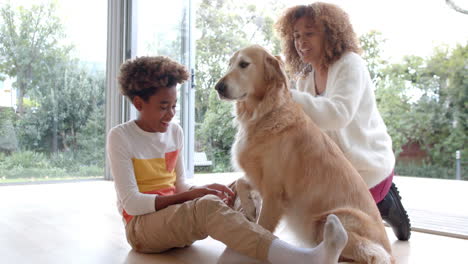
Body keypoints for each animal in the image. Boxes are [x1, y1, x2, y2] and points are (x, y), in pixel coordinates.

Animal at [216, 44, 394, 262]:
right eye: (230, 64)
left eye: (244, 64)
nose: (218, 87)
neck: (266, 113)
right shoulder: (260, 178)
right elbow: (242, 181)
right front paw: (249, 207)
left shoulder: (274, 191)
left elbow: (263, 228)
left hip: (325, 221)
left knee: (369, 254)